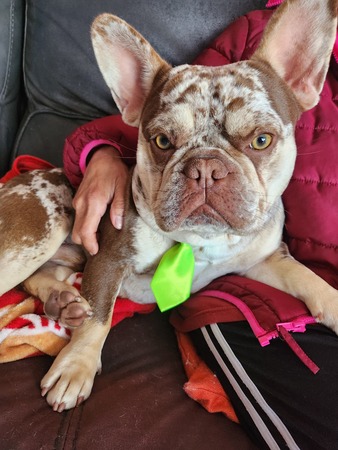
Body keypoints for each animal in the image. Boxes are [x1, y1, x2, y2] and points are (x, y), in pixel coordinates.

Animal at [0, 0, 338, 412]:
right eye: (162, 141)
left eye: (261, 140)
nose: (206, 167)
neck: (201, 239)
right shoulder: (109, 259)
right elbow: (99, 316)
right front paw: (76, 366)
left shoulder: (265, 260)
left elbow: (308, 277)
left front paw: (335, 302)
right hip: (39, 233)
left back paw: (63, 300)